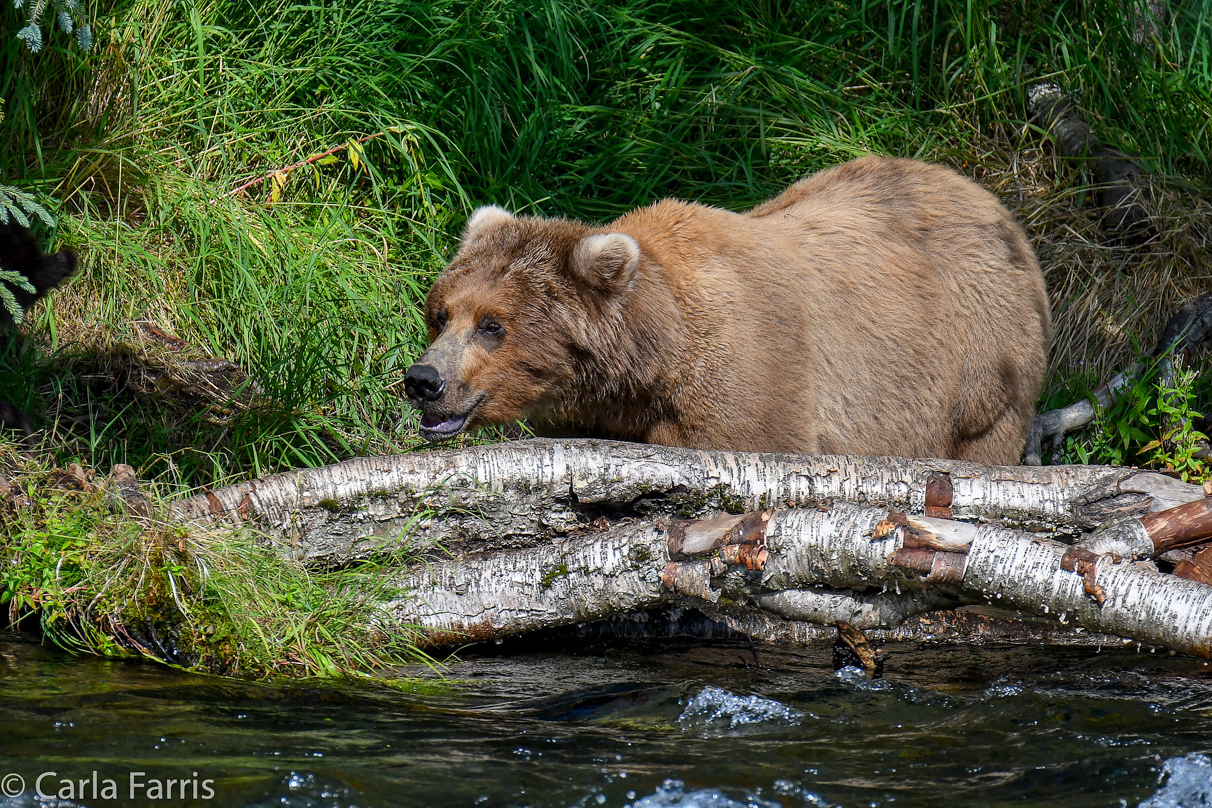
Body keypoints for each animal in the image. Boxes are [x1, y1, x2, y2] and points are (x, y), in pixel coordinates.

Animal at [407, 155, 1052, 465]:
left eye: (493, 325)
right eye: (441, 314)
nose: (424, 379)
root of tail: (988, 200)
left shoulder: (756, 371)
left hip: (979, 370)